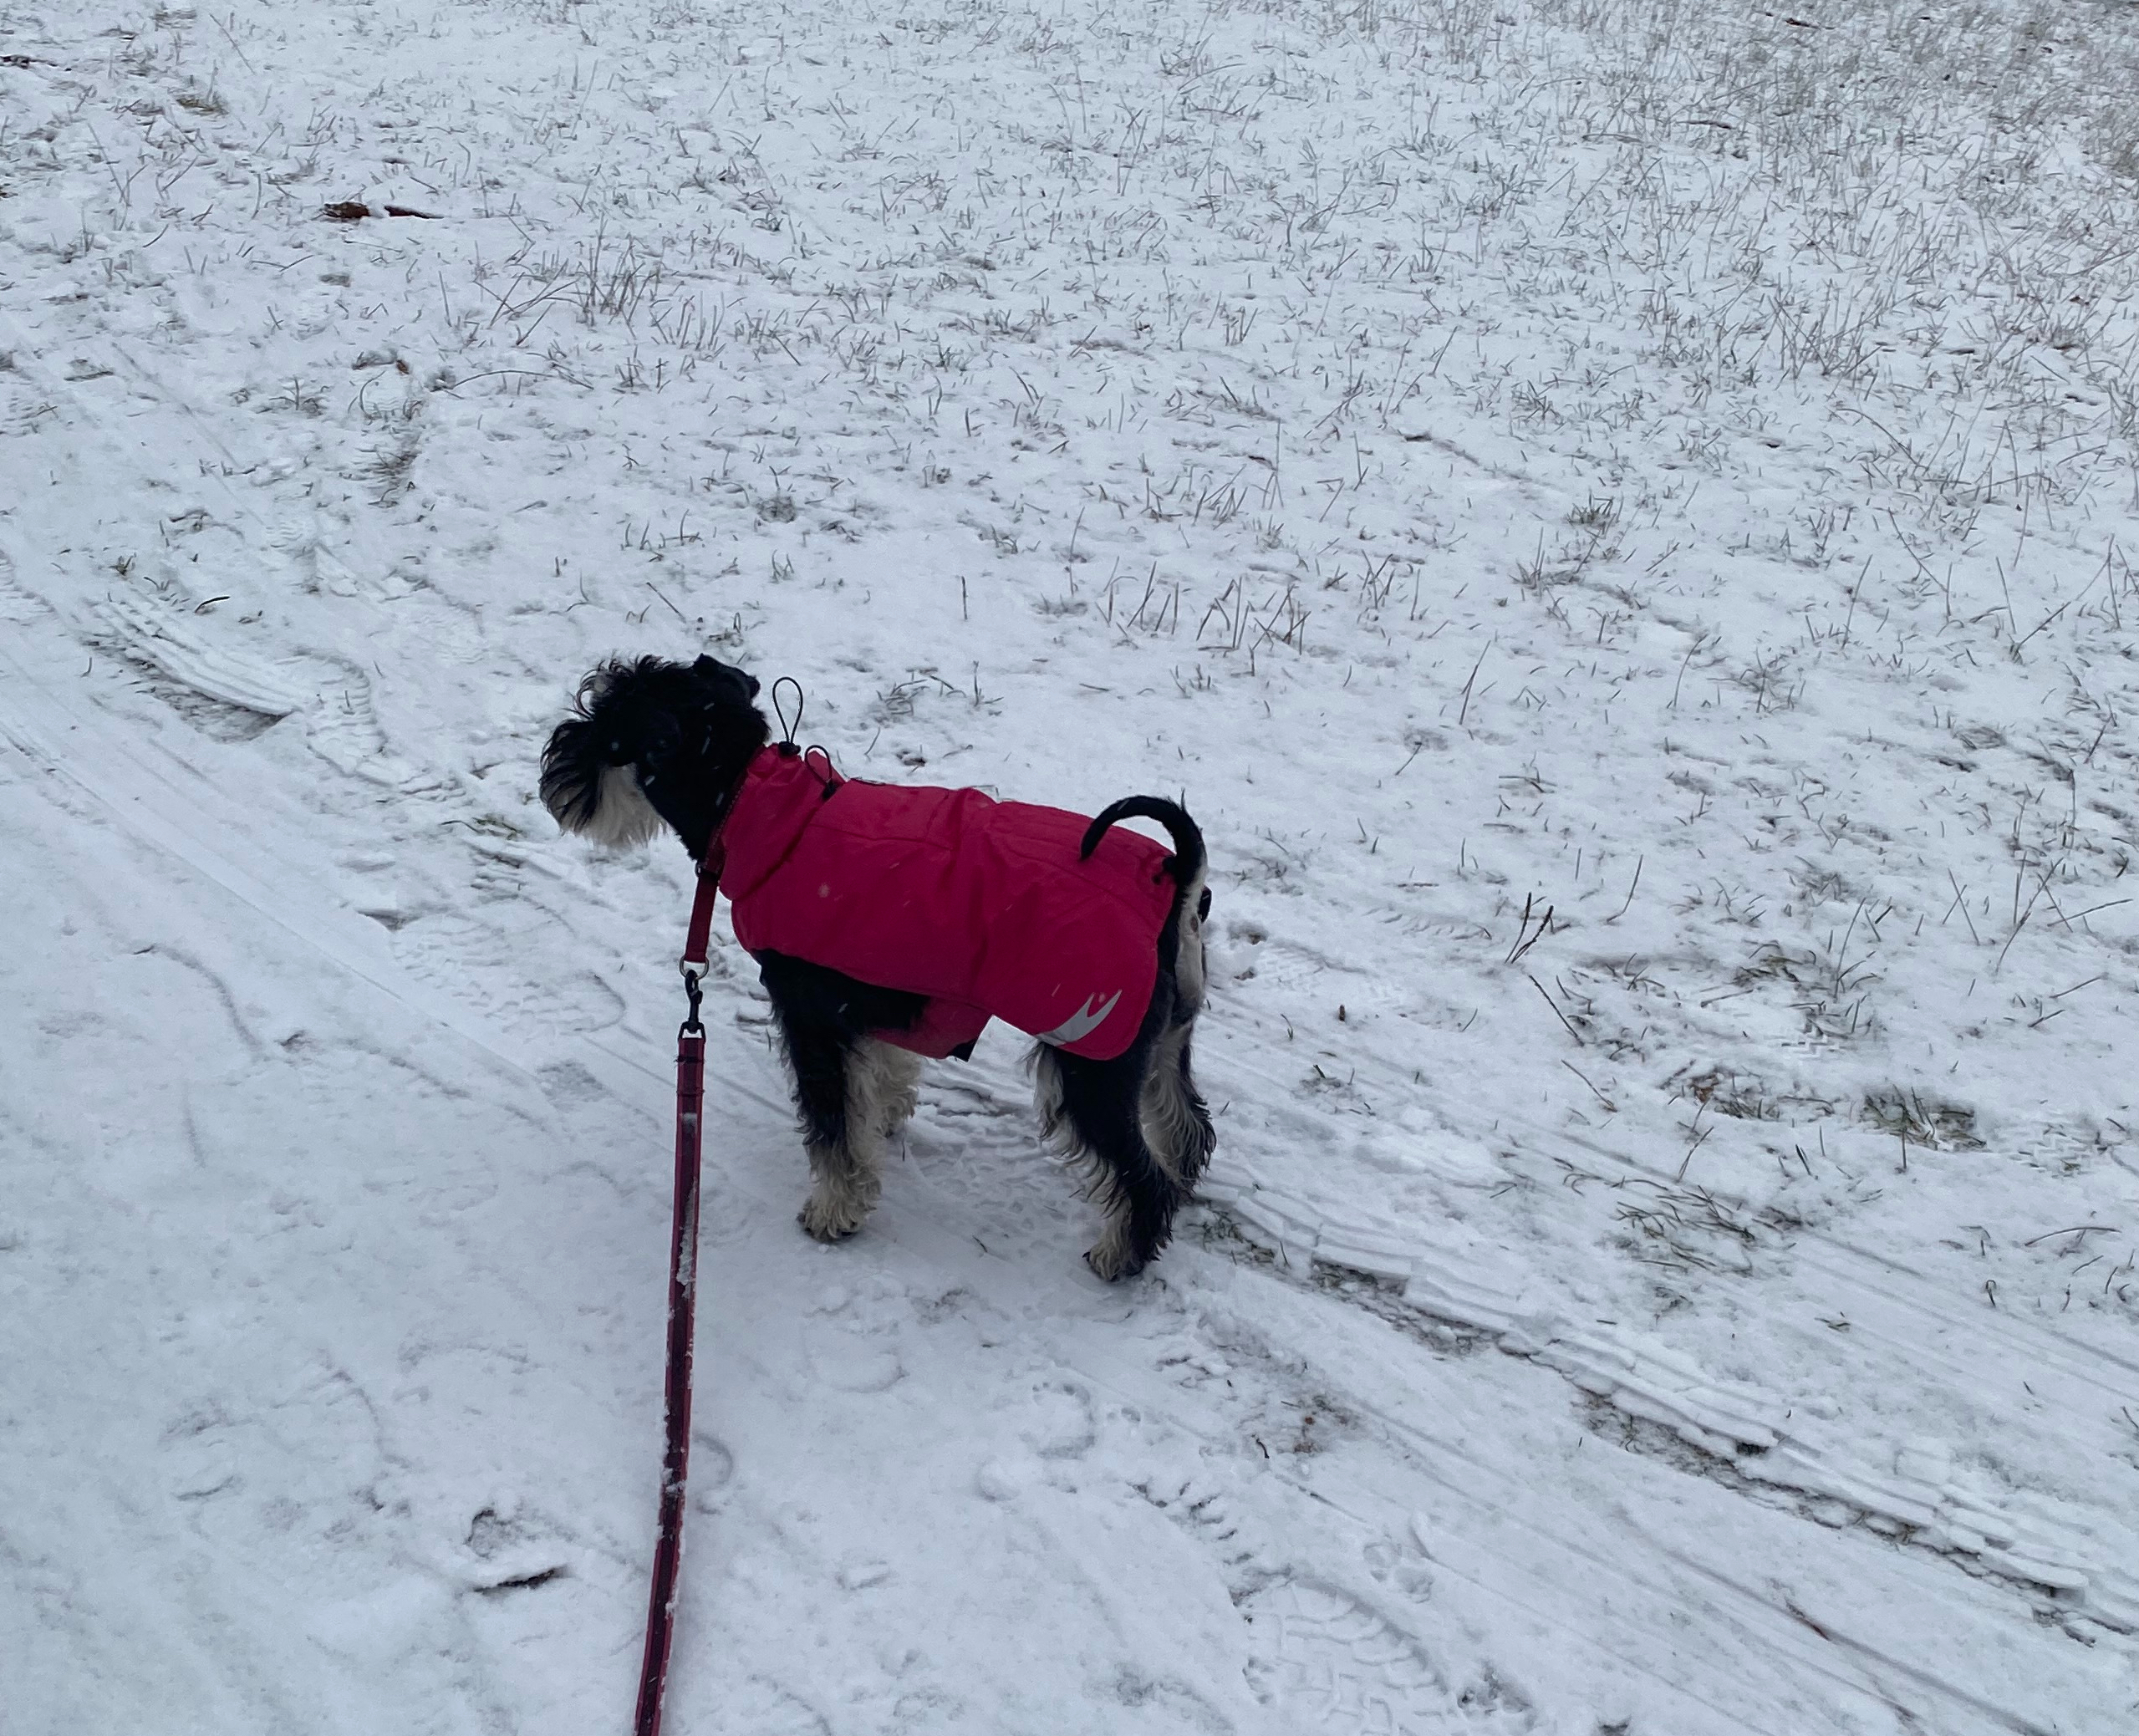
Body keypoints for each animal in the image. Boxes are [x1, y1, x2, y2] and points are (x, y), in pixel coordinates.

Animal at [540, 653, 1215, 1278]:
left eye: (603, 721)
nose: (553, 768)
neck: (754, 807)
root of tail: (1175, 881)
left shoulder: (808, 1016)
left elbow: (832, 1124)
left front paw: (833, 1210)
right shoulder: (871, 999)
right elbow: (879, 1074)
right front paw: (884, 1121)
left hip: (1091, 1068)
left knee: (1139, 1175)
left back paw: (1121, 1255)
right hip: (1160, 1044)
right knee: (1185, 1123)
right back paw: (1178, 1185)